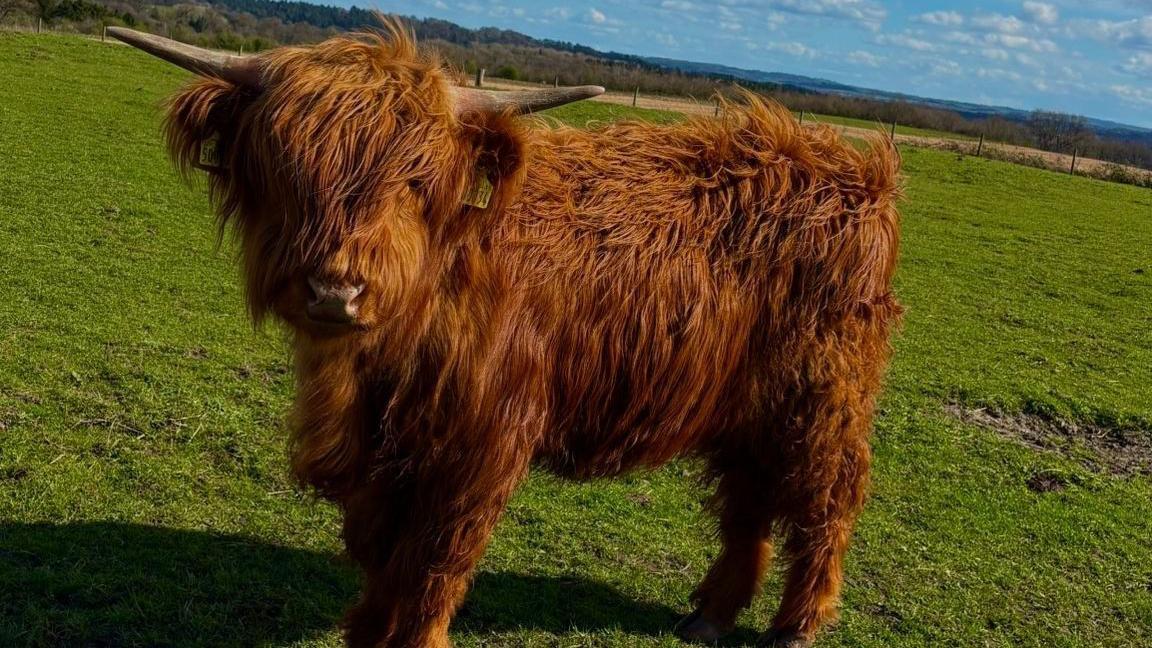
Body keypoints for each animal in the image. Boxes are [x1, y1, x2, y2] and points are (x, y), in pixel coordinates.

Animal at [109, 22, 902, 648]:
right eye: (285, 165)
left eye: (414, 180)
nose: (336, 289)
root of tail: (852, 170)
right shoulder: (382, 455)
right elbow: (379, 552)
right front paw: (365, 629)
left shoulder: (483, 439)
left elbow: (437, 561)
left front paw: (413, 637)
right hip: (746, 403)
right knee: (751, 499)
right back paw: (710, 615)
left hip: (823, 395)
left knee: (828, 497)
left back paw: (798, 623)